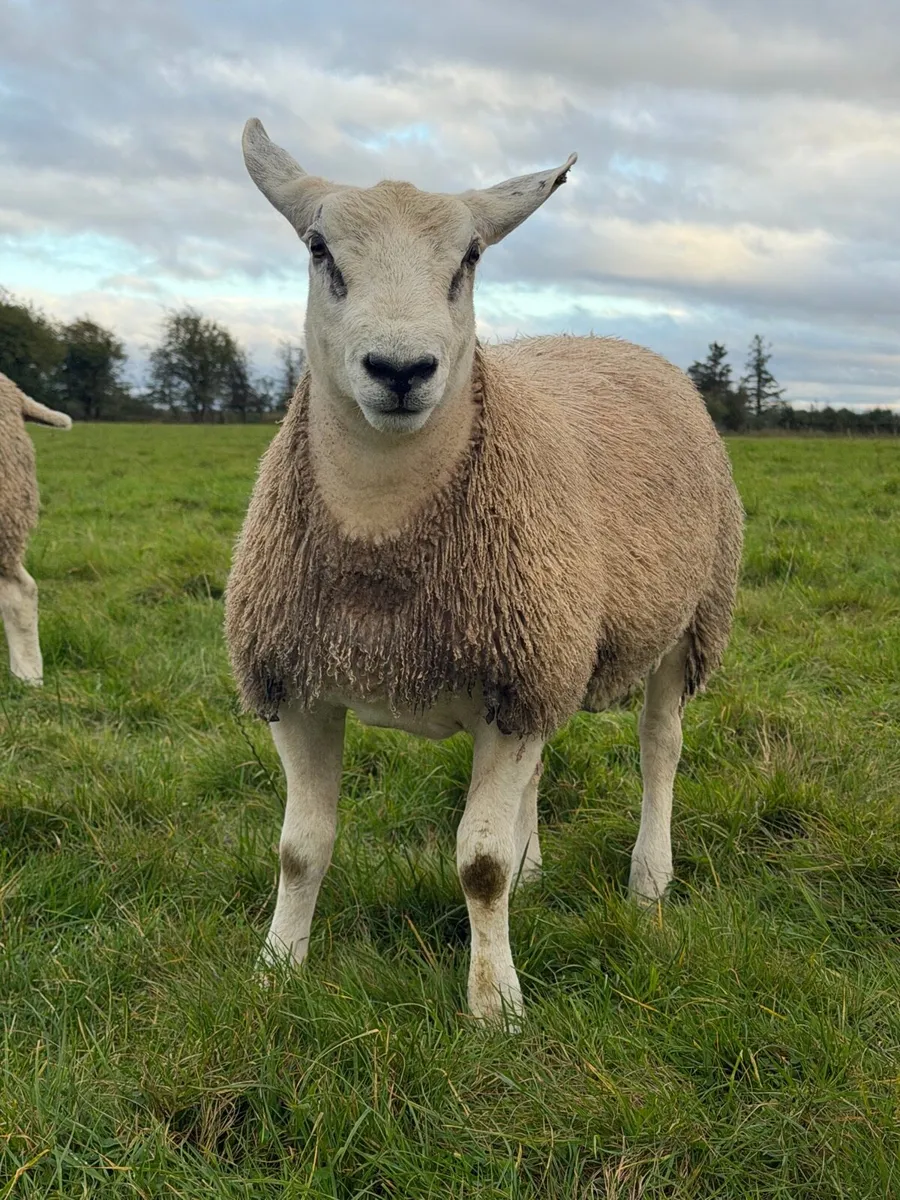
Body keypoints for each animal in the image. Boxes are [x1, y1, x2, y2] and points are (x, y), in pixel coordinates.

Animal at [225, 119, 744, 1025]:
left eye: (469, 258)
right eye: (320, 249)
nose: (401, 370)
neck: (379, 544)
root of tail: (614, 341)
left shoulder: (519, 674)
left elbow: (479, 864)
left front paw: (494, 1004)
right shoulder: (295, 681)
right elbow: (299, 847)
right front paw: (276, 969)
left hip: (684, 619)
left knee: (661, 748)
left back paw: (650, 878)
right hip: (547, 643)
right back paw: (541, 866)